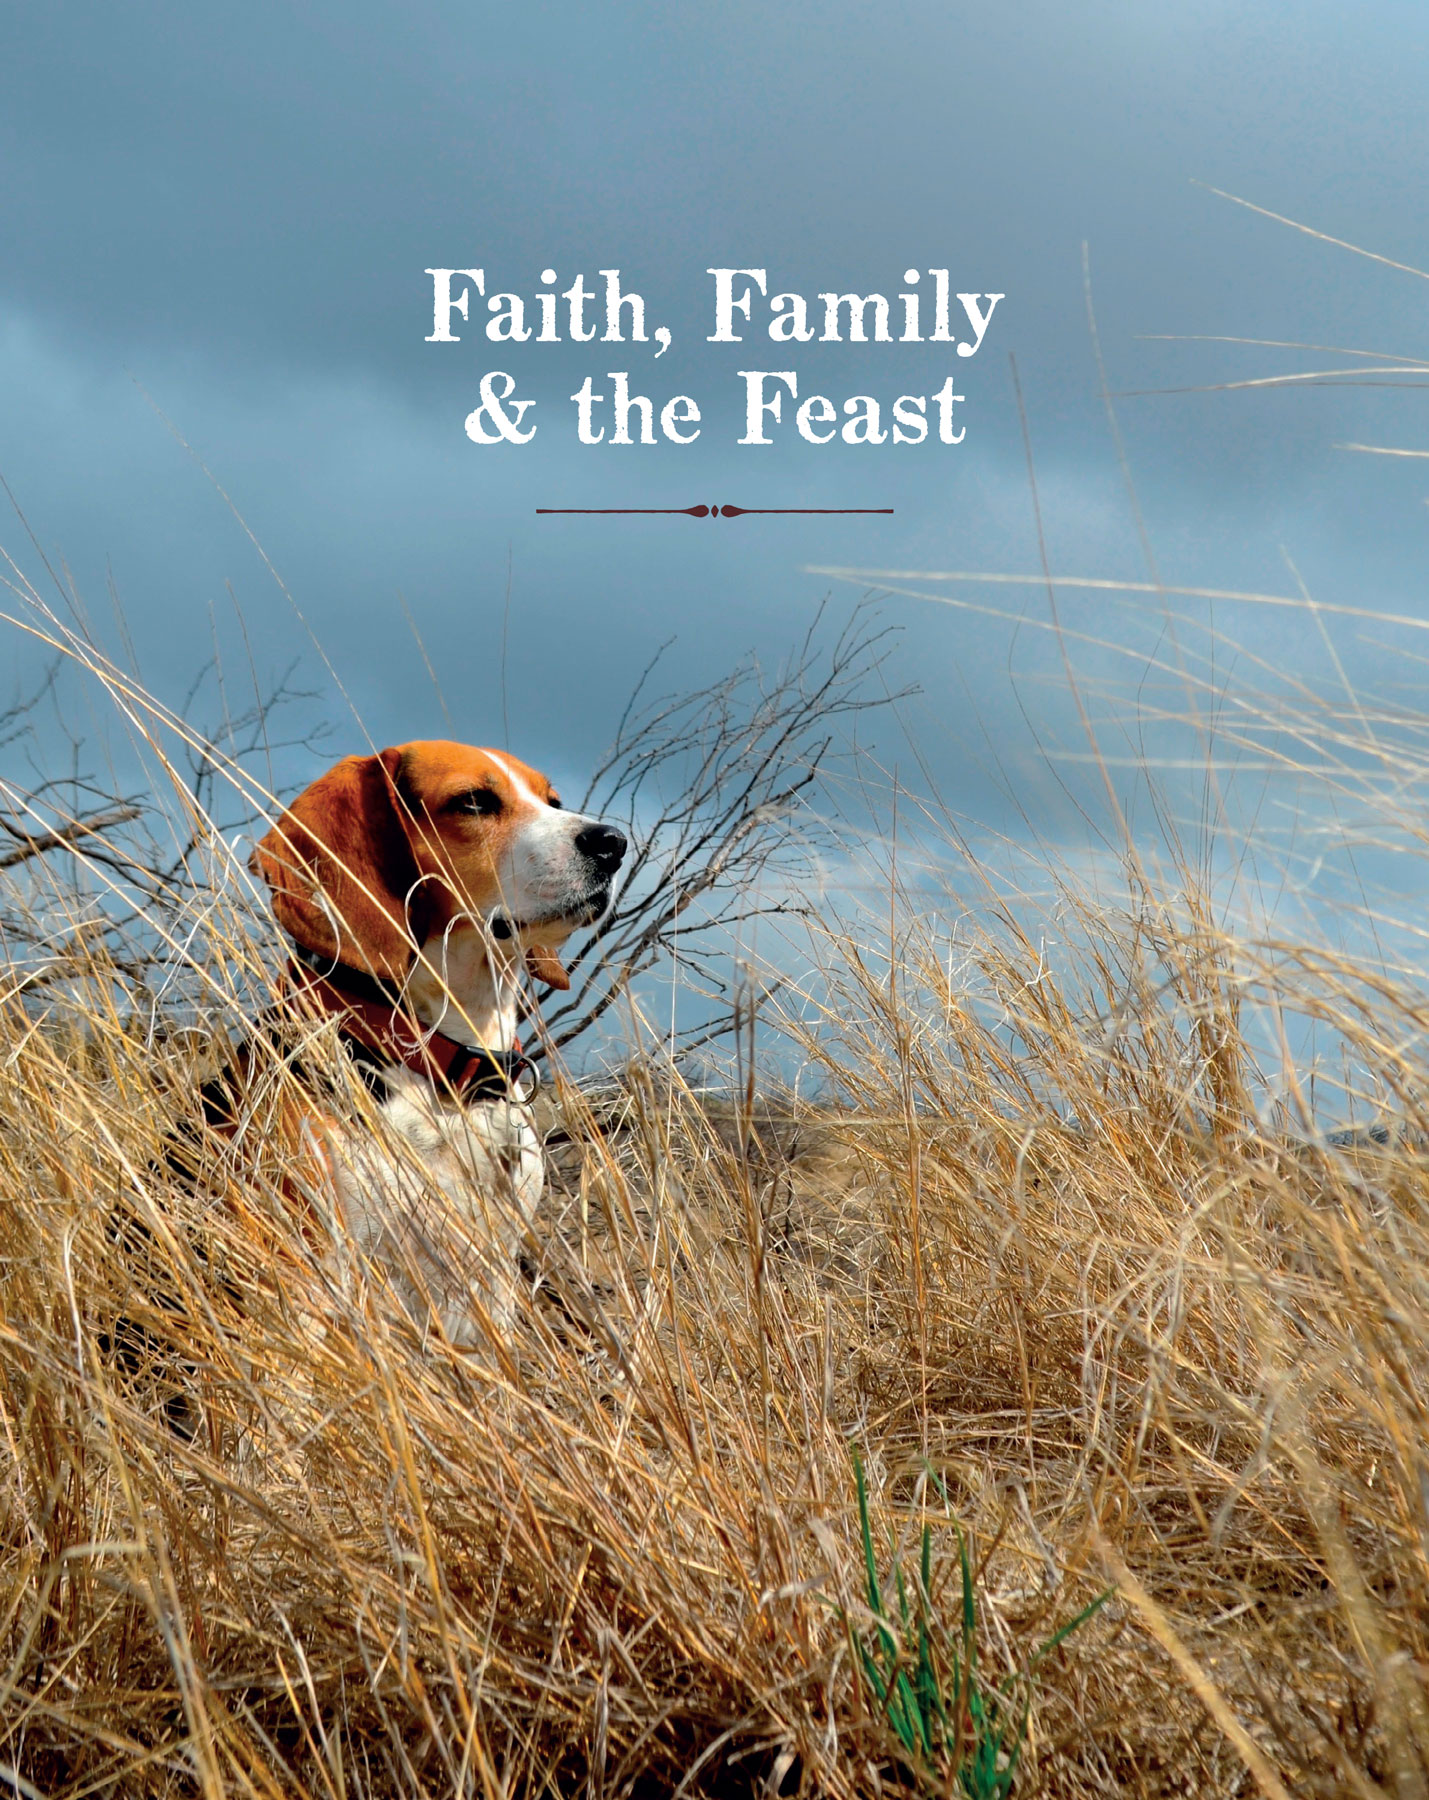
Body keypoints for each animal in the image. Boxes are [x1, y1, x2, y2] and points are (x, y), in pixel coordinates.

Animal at [233, 738, 622, 1346]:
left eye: (551, 800)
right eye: (473, 802)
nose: (614, 843)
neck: (448, 1068)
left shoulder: (491, 1283)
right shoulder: (308, 1275)